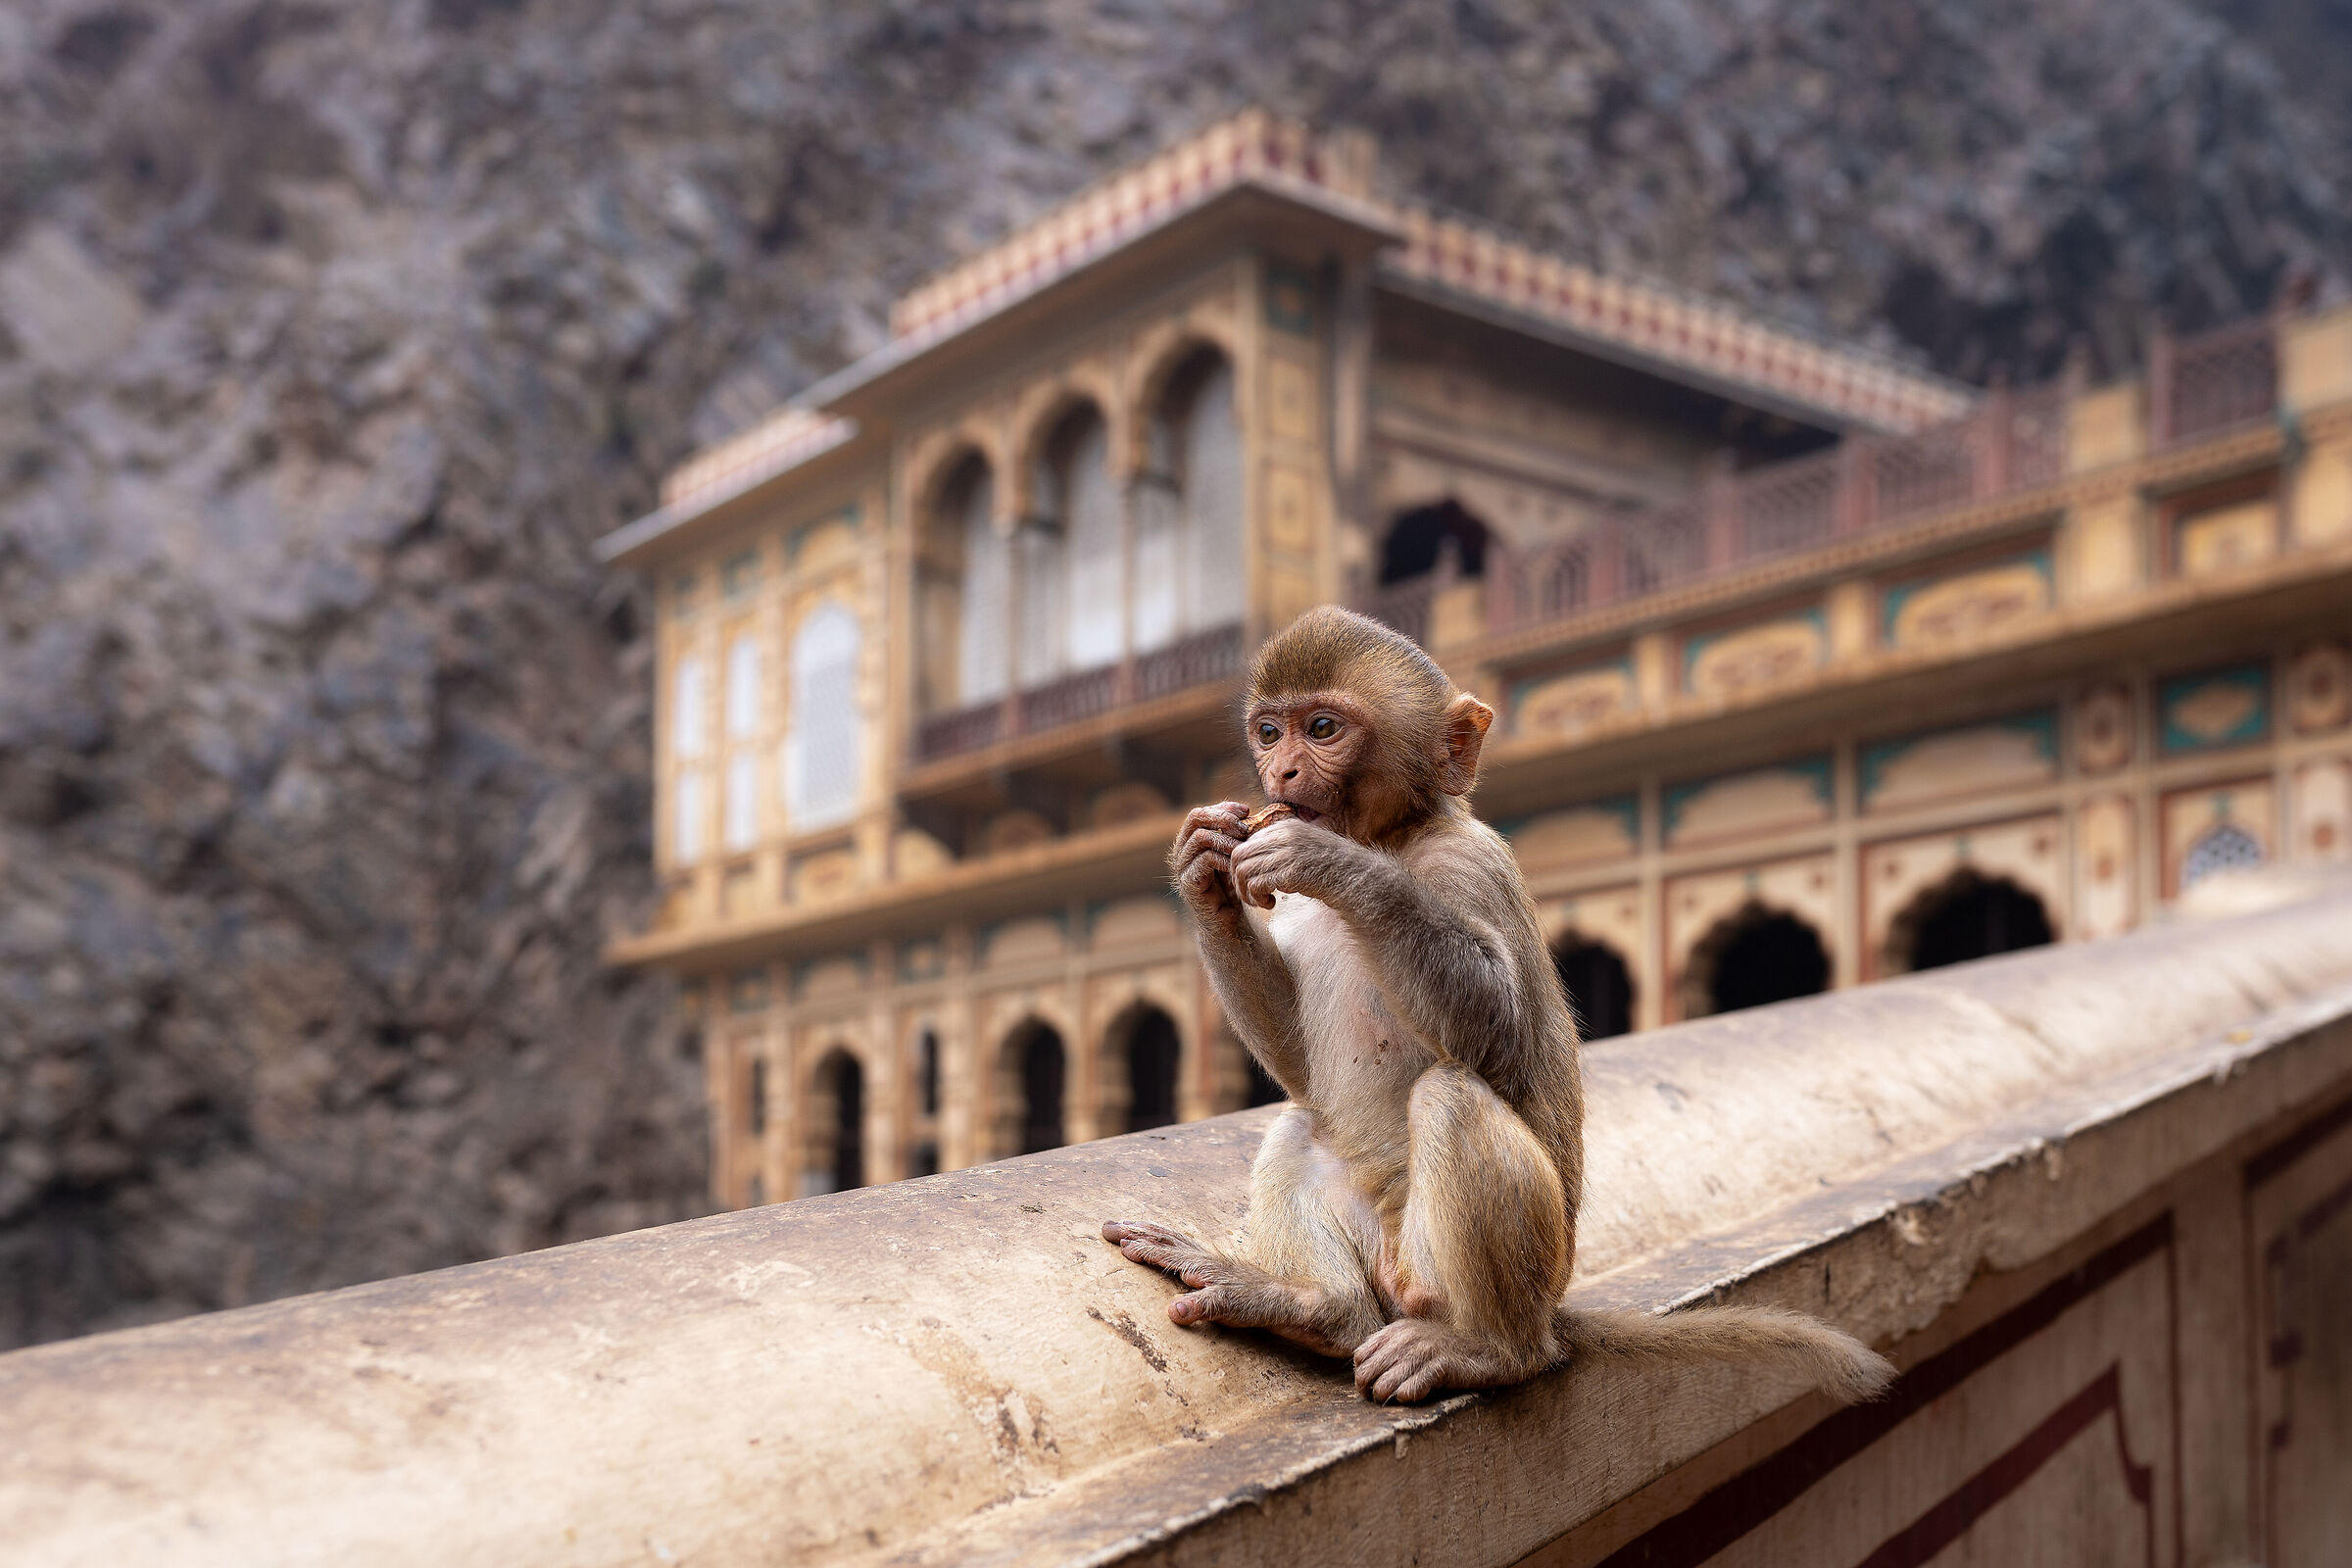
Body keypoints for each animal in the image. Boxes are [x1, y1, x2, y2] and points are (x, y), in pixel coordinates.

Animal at [1103, 606, 1892, 1406]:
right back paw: (1312, 1308)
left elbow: (1499, 1034)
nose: (1281, 774)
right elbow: (1298, 1064)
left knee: (1452, 1098)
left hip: (1501, 1272)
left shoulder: (1473, 864)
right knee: (1304, 1124)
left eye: (1321, 728)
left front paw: (1334, 864)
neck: (1398, 834)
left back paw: (1490, 1352)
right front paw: (1203, 871)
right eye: (1270, 732)